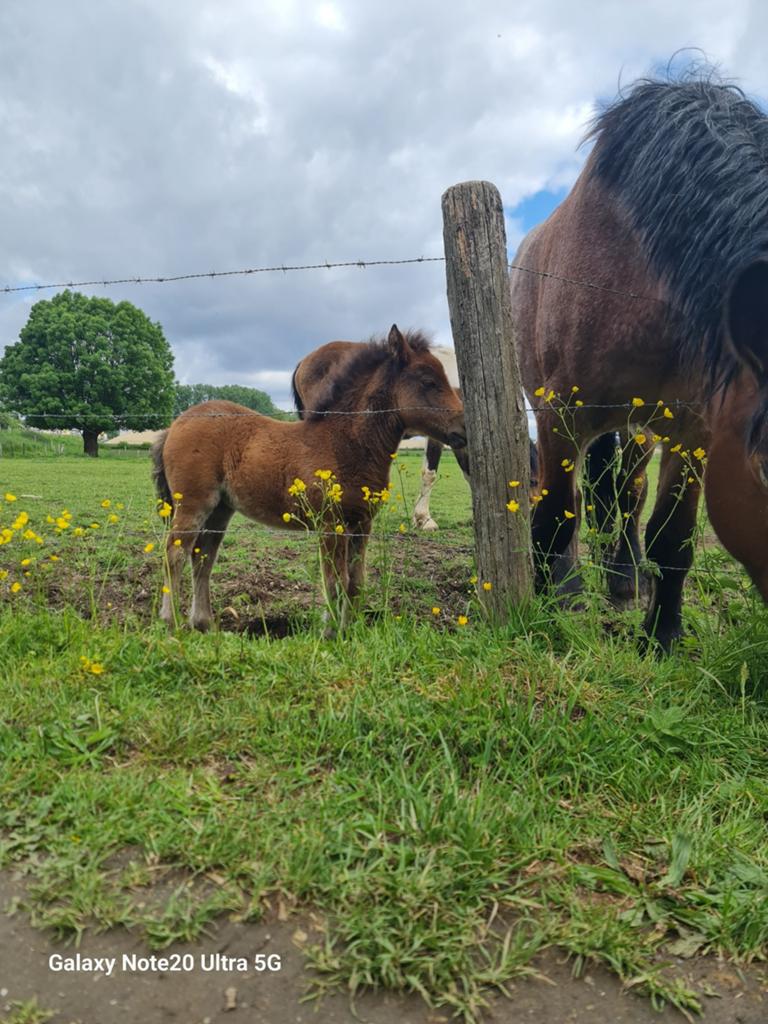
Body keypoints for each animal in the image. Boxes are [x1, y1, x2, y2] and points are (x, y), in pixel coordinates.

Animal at [511, 72, 768, 650]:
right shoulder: (561, 414)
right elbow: (555, 517)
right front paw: (547, 610)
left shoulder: (695, 432)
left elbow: (673, 537)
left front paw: (662, 635)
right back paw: (572, 587)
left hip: (640, 428)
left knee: (628, 495)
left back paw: (626, 582)